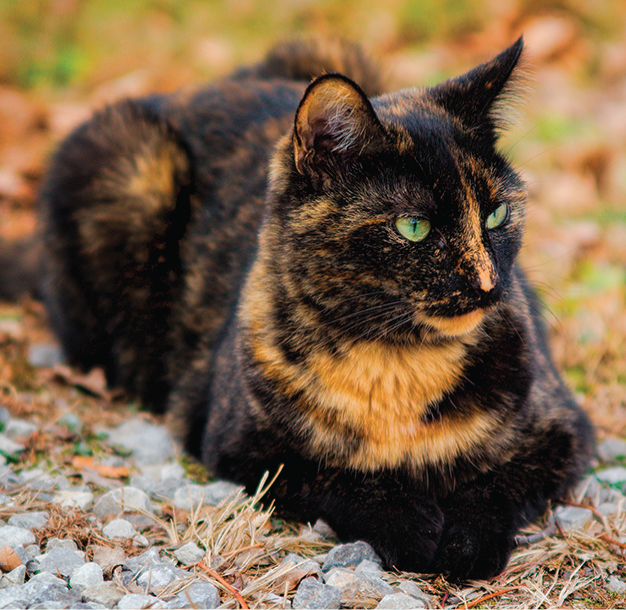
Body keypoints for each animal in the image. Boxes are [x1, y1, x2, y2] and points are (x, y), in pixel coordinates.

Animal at [6, 35, 596, 576]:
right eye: (414, 226)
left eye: (497, 214)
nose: (489, 284)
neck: (398, 364)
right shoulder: (242, 445)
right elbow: (340, 479)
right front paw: (414, 529)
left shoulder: (562, 430)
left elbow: (498, 486)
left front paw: (466, 544)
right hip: (133, 168)